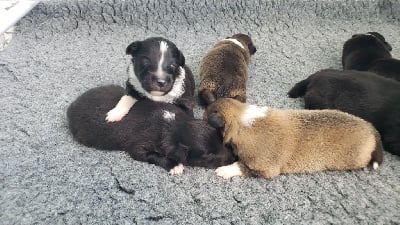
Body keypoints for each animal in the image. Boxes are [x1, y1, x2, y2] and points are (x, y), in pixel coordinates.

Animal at [68, 84, 238, 174]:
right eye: (209, 155)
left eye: (220, 139)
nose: (234, 158)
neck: (173, 125)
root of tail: (72, 105)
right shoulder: (139, 147)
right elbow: (152, 156)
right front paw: (174, 165)